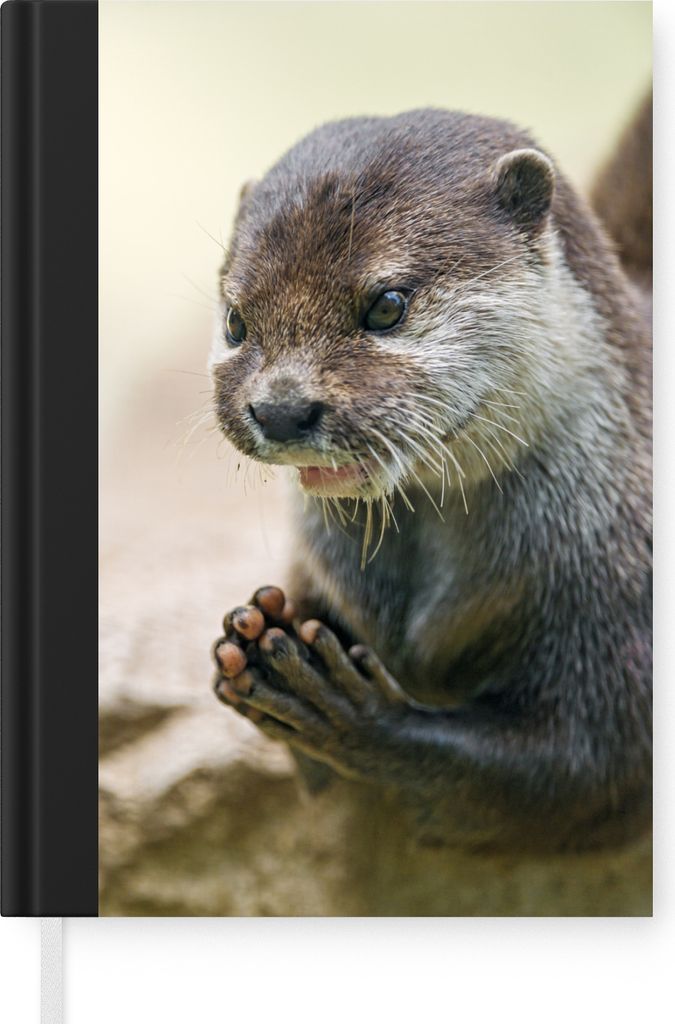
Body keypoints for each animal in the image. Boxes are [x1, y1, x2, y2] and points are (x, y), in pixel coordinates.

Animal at [210, 99, 652, 853]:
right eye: (237, 320)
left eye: (386, 304)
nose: (281, 408)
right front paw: (257, 631)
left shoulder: (623, 607)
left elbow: (586, 768)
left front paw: (353, 716)